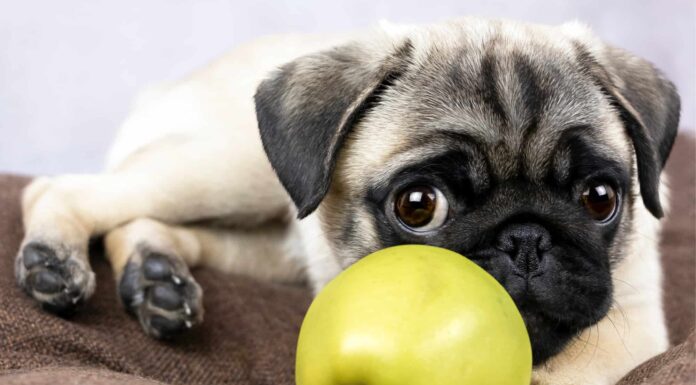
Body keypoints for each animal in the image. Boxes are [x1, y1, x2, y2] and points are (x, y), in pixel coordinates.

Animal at [14, 16, 680, 382]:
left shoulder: (625, 337)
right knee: (68, 189)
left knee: (158, 226)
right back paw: (54, 261)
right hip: (225, 167)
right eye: (419, 206)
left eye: (600, 198)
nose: (525, 238)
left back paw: (158, 281)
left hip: (265, 240)